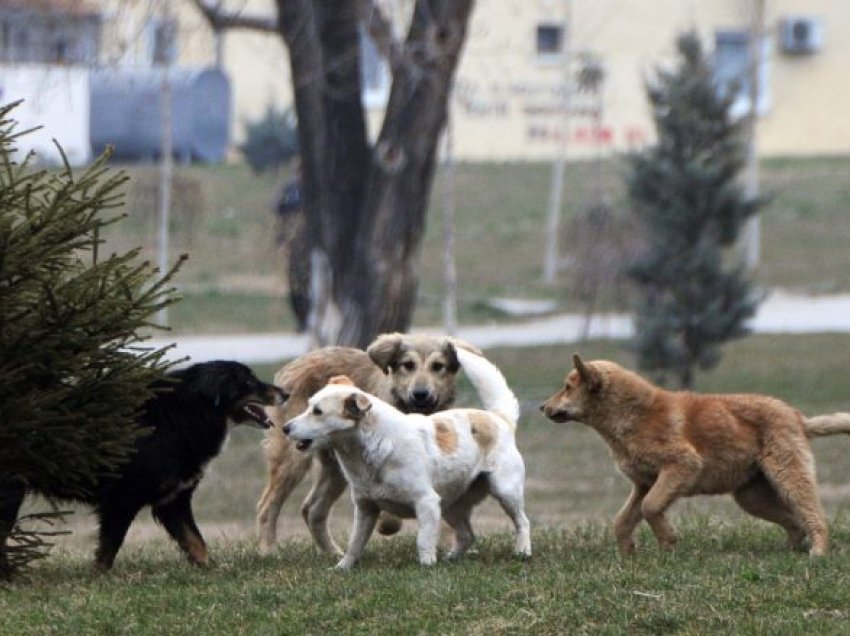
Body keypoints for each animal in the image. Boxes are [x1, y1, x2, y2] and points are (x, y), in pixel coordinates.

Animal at [0, 360, 284, 572]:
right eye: (248, 382)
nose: (285, 393)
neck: (181, 416)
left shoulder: (173, 501)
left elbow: (195, 541)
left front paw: (210, 569)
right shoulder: (121, 500)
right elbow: (109, 548)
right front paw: (100, 577)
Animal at [253, 330, 476, 556]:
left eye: (438, 366)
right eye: (408, 365)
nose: (420, 394)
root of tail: (294, 364)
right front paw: (388, 523)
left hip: (335, 469)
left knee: (312, 510)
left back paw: (333, 553)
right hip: (292, 459)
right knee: (267, 505)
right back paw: (268, 550)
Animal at [282, 348, 528, 572]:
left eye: (317, 411)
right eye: (309, 405)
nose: (285, 428)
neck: (370, 450)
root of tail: (499, 418)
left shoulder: (426, 503)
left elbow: (423, 540)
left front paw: (426, 566)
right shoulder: (365, 508)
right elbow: (355, 543)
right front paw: (343, 567)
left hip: (505, 491)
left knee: (522, 522)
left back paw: (522, 551)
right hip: (451, 506)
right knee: (467, 535)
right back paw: (451, 558)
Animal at [540, 356, 848, 560]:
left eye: (567, 387)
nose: (542, 407)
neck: (632, 415)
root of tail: (799, 418)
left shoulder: (682, 465)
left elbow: (651, 508)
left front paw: (668, 541)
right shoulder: (644, 484)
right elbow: (623, 520)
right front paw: (629, 553)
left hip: (788, 476)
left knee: (814, 516)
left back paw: (818, 552)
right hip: (751, 497)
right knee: (795, 522)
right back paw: (790, 550)